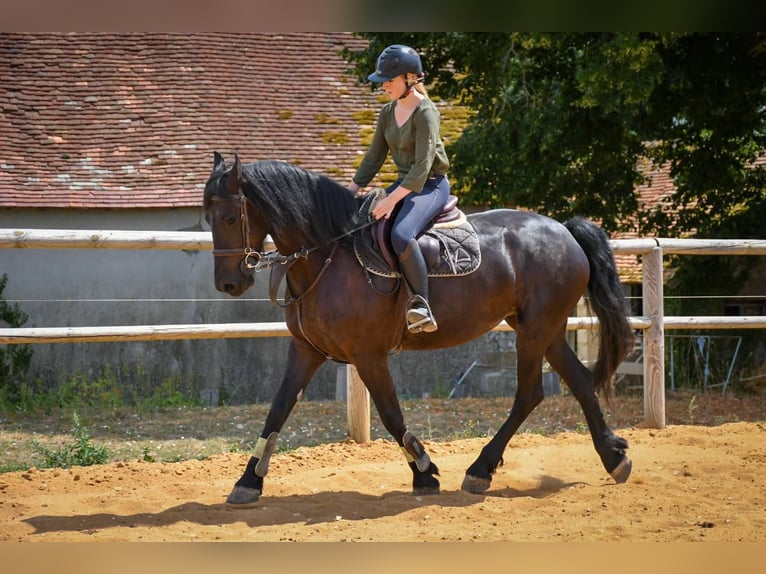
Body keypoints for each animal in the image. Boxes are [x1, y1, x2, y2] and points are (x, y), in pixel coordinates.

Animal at [202, 153, 636, 508]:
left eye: (230, 218)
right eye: (207, 218)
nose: (228, 283)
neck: (328, 256)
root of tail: (563, 229)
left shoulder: (368, 355)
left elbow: (391, 414)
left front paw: (425, 473)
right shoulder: (305, 351)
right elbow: (276, 411)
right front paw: (248, 481)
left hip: (535, 331)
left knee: (529, 394)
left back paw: (480, 470)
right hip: (545, 328)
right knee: (579, 381)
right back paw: (613, 457)